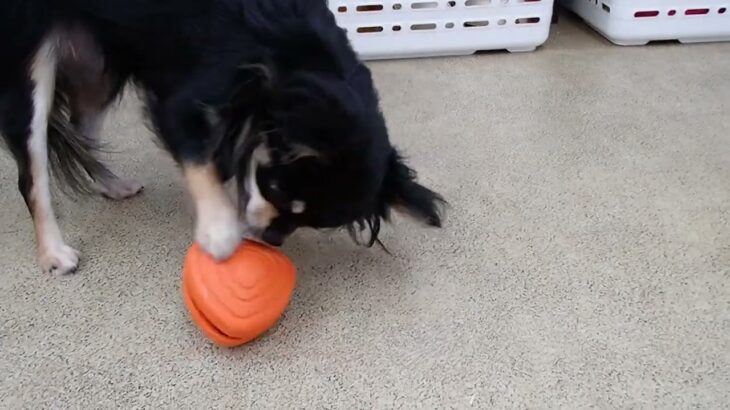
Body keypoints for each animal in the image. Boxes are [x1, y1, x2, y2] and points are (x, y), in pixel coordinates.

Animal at [0, 0, 444, 276]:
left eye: (311, 221)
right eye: (277, 190)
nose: (272, 240)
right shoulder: (182, 105)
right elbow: (204, 165)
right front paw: (219, 233)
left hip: (98, 73)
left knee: (80, 132)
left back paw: (111, 184)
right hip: (34, 65)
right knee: (33, 173)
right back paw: (54, 252)